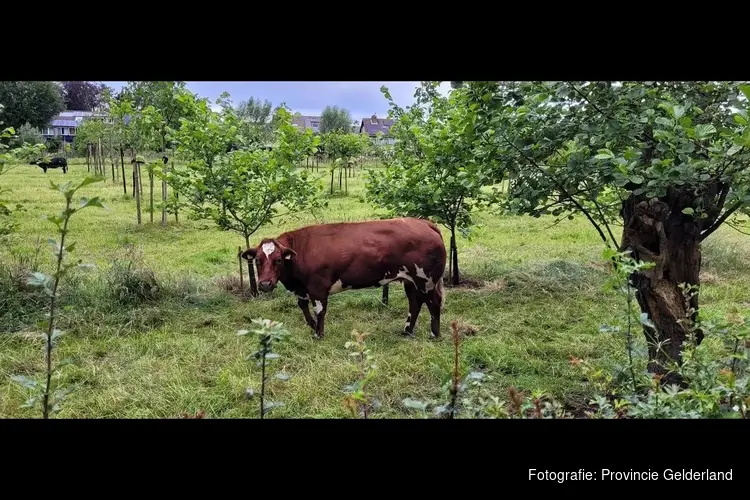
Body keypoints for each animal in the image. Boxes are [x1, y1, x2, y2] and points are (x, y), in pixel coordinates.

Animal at [242, 218, 446, 340]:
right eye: (257, 260)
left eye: (278, 259)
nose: (265, 284)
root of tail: (424, 222)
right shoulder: (302, 290)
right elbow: (303, 308)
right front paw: (312, 327)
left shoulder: (317, 287)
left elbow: (319, 311)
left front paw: (319, 334)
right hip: (410, 281)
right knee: (415, 302)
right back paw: (407, 331)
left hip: (426, 280)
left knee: (433, 303)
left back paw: (434, 334)